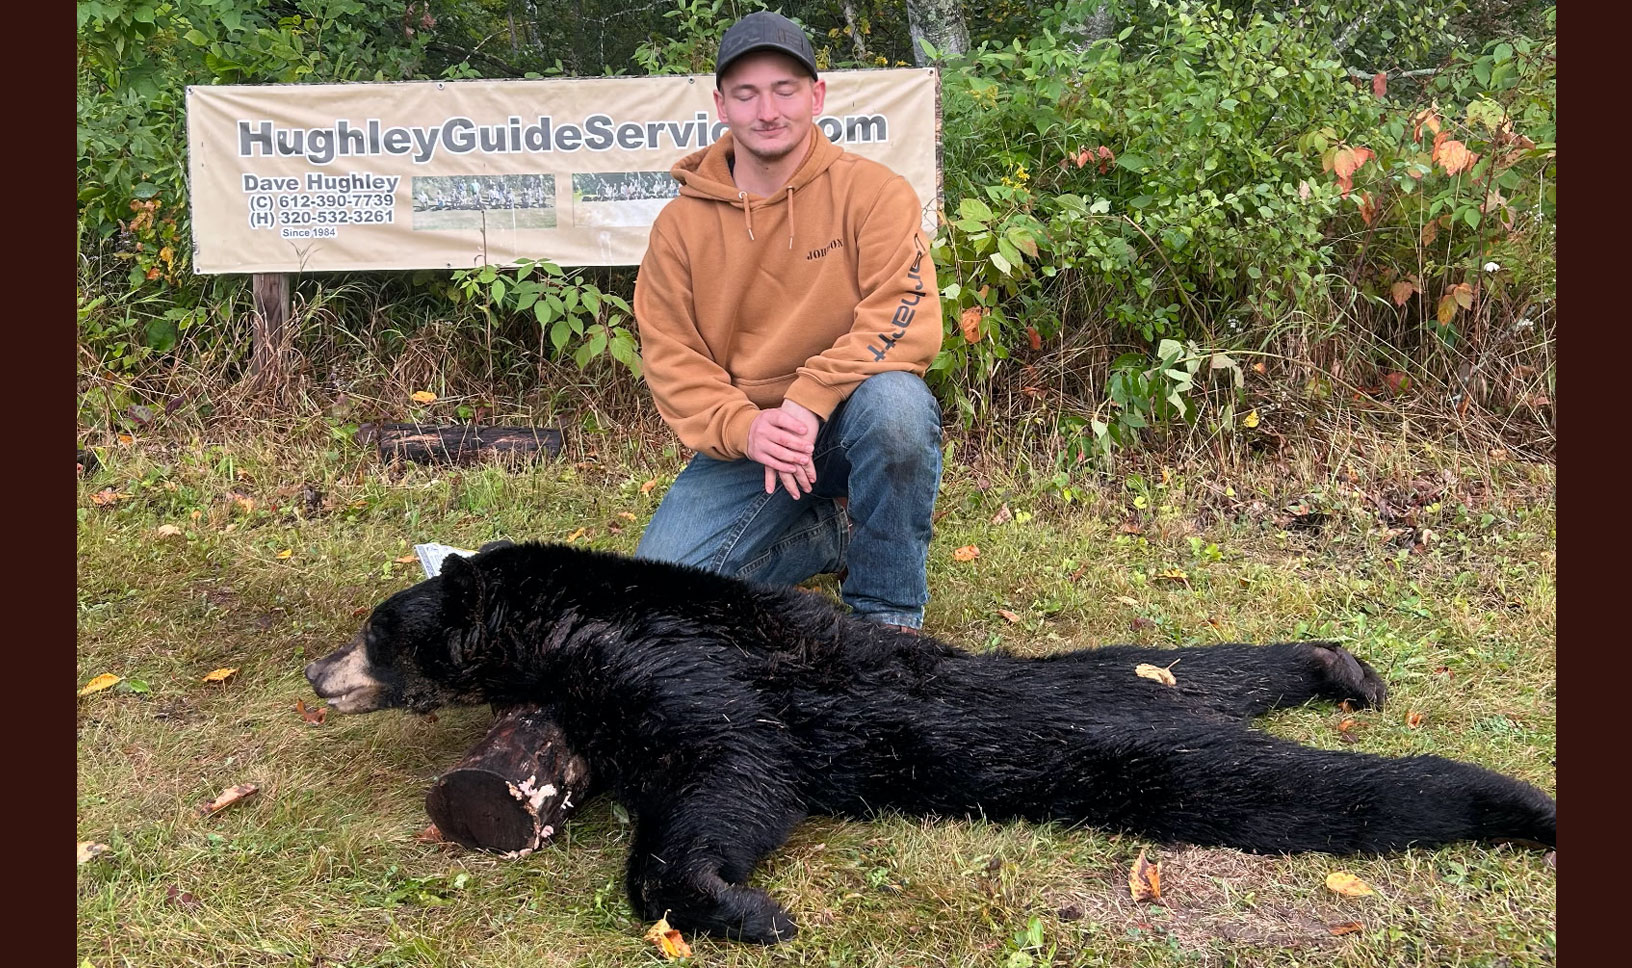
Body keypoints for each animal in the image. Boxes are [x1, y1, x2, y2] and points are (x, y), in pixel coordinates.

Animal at [305, 541, 1556, 945]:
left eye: (373, 631)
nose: (318, 671)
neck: (574, 612)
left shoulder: (682, 666)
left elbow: (732, 771)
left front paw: (741, 904)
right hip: (1112, 677)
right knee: (1201, 659)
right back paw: (1339, 666)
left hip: (1111, 747)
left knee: (1322, 792)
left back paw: (1519, 802)